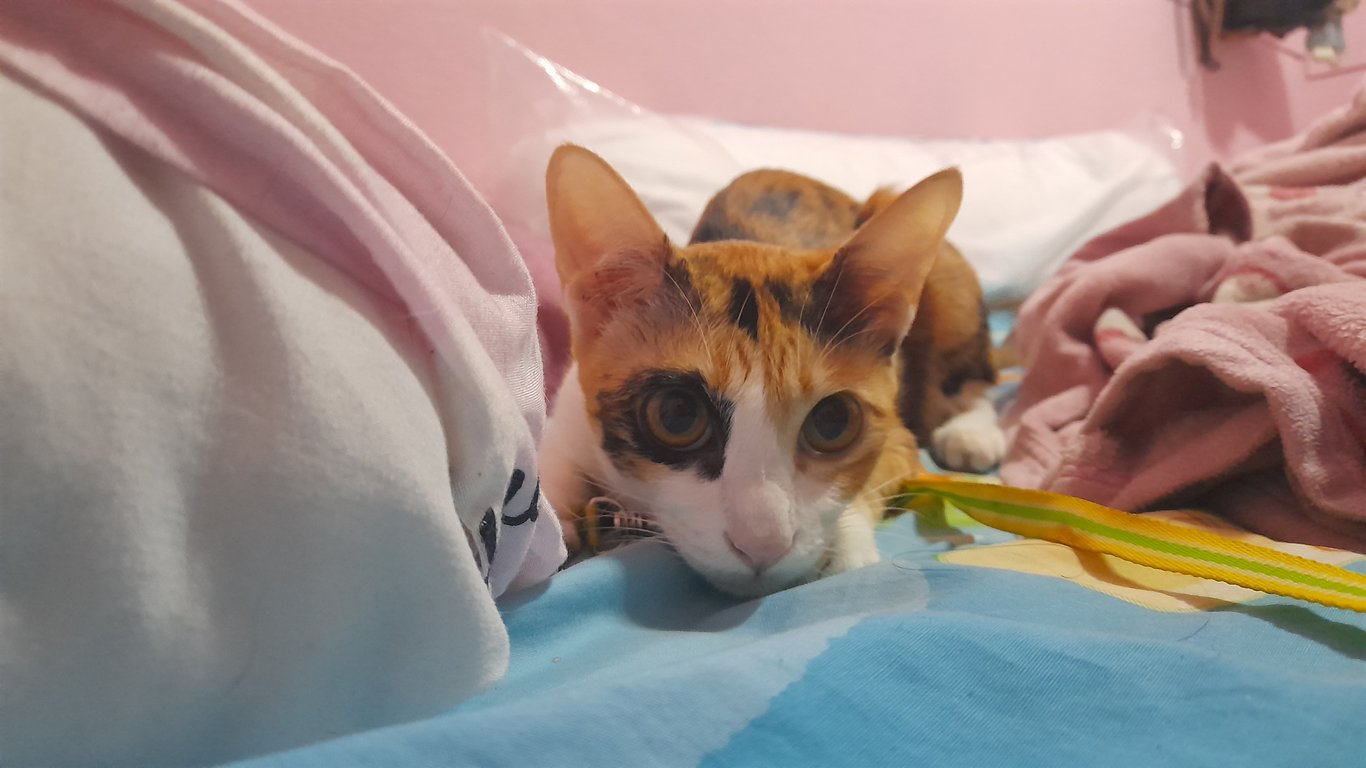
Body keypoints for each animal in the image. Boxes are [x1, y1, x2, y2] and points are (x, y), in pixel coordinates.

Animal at [538, 144, 1005, 596]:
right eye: (677, 414)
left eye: (834, 421)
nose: (762, 544)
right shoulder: (569, 412)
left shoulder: (897, 436)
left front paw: (842, 549)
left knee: (971, 378)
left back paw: (971, 433)